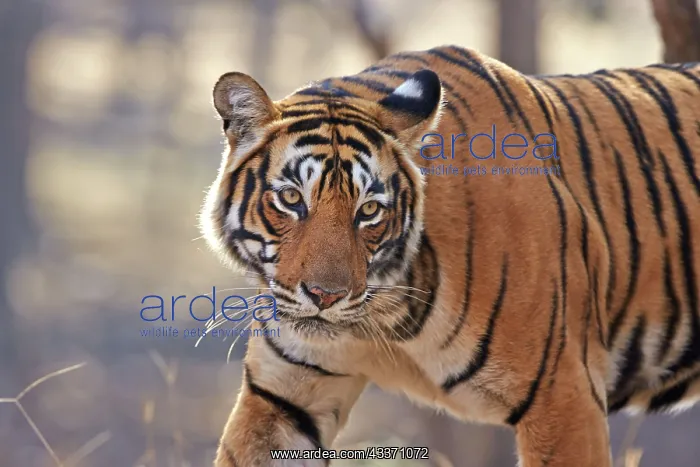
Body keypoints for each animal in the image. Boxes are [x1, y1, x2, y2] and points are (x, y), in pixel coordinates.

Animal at [199, 44, 700, 466]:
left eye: (369, 210)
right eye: (290, 199)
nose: (326, 296)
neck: (386, 314)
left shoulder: (564, 394)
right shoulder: (282, 396)